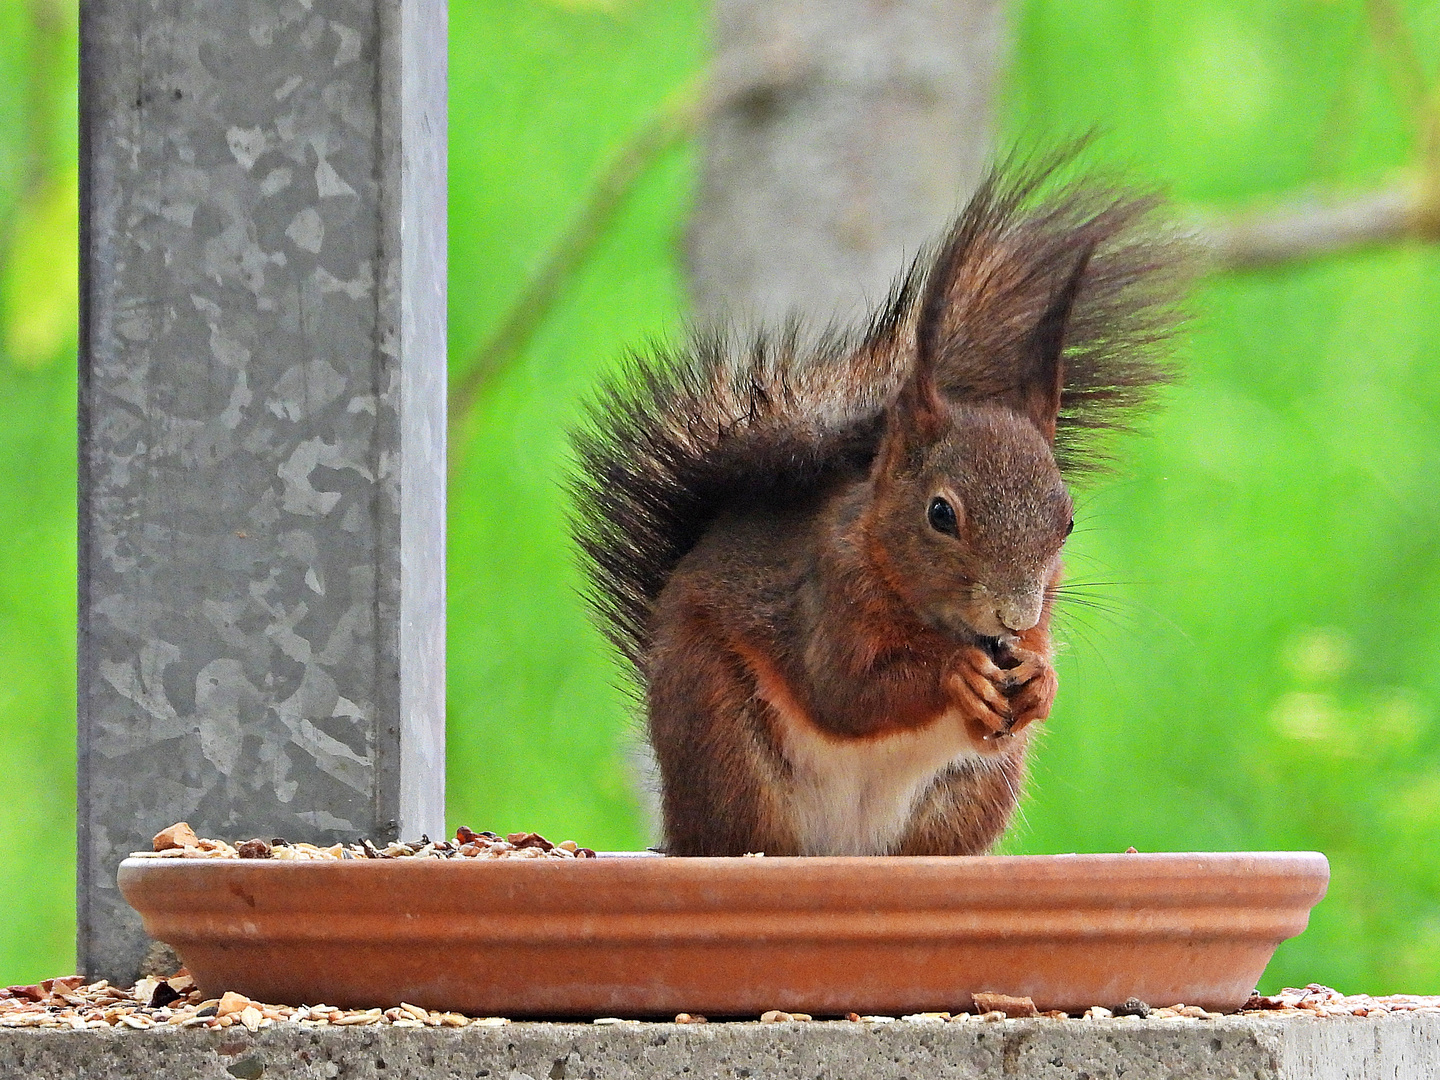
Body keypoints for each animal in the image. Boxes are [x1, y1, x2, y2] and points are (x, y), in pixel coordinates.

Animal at [567, 158, 1186, 852]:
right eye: (941, 514)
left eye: (1068, 520)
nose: (1015, 614)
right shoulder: (826, 596)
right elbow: (844, 693)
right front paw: (955, 674)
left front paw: (1039, 681)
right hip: (721, 737)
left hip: (971, 793)